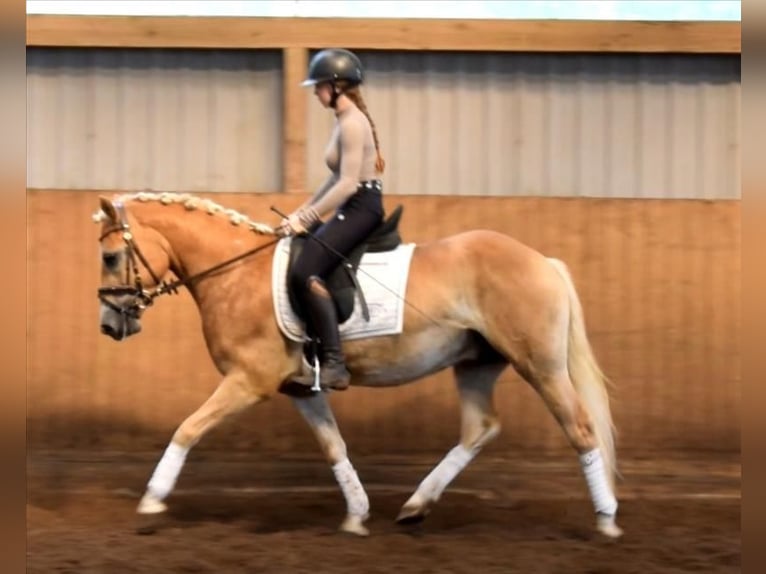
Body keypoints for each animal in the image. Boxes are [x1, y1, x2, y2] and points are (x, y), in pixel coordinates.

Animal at [93, 191, 623, 539]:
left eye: (111, 255)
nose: (109, 325)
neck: (236, 272)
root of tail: (543, 261)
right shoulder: (300, 389)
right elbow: (334, 447)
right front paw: (356, 515)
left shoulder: (249, 382)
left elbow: (187, 428)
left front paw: (152, 497)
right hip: (475, 363)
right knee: (480, 428)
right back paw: (415, 506)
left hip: (541, 366)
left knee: (580, 430)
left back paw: (607, 520)